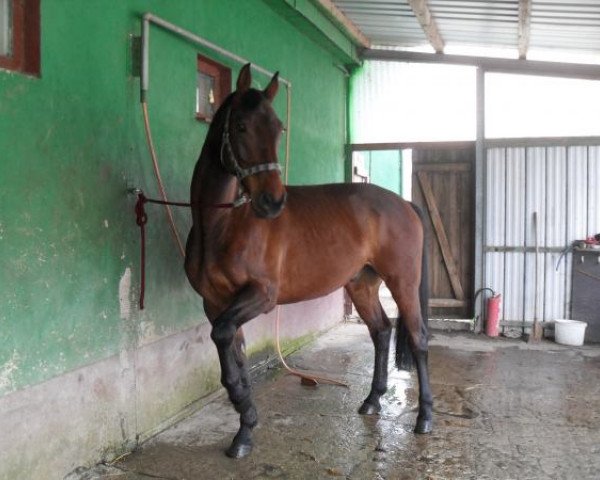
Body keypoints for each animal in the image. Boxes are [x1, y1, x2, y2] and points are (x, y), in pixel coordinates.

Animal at [183, 62, 432, 458]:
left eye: (278, 128)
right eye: (241, 126)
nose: (272, 202)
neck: (223, 225)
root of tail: (403, 202)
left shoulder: (261, 297)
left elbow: (224, 341)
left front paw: (244, 414)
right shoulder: (216, 303)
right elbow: (233, 354)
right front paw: (245, 426)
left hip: (403, 283)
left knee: (418, 338)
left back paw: (424, 418)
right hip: (361, 285)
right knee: (381, 331)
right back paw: (372, 401)